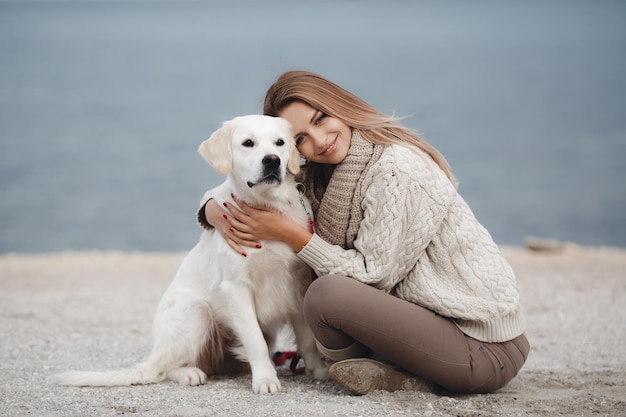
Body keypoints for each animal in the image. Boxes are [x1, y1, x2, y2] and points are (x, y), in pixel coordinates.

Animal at [52, 114, 326, 394]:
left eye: (280, 143)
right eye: (248, 143)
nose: (272, 160)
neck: (267, 205)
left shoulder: (298, 283)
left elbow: (307, 339)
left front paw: (318, 370)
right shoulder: (236, 287)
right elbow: (254, 340)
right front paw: (265, 379)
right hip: (196, 311)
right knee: (165, 368)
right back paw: (190, 374)